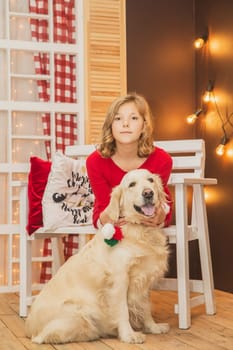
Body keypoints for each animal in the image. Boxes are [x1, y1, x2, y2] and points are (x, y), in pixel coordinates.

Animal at [25, 169, 169, 344]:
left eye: (150, 180)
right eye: (132, 184)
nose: (148, 193)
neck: (140, 230)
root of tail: (29, 326)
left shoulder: (145, 277)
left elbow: (146, 306)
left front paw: (153, 327)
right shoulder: (120, 280)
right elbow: (123, 311)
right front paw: (129, 335)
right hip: (75, 313)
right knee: (44, 337)